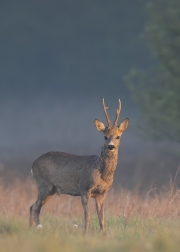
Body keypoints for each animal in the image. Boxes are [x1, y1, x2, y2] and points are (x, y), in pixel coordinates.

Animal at [29, 98, 129, 232]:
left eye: (118, 136)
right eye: (105, 137)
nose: (111, 146)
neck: (102, 172)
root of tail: (33, 165)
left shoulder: (101, 194)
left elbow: (101, 219)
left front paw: (104, 234)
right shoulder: (84, 188)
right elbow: (87, 216)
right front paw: (85, 233)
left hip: (51, 189)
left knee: (32, 206)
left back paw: (31, 228)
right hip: (44, 184)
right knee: (35, 208)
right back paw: (37, 228)